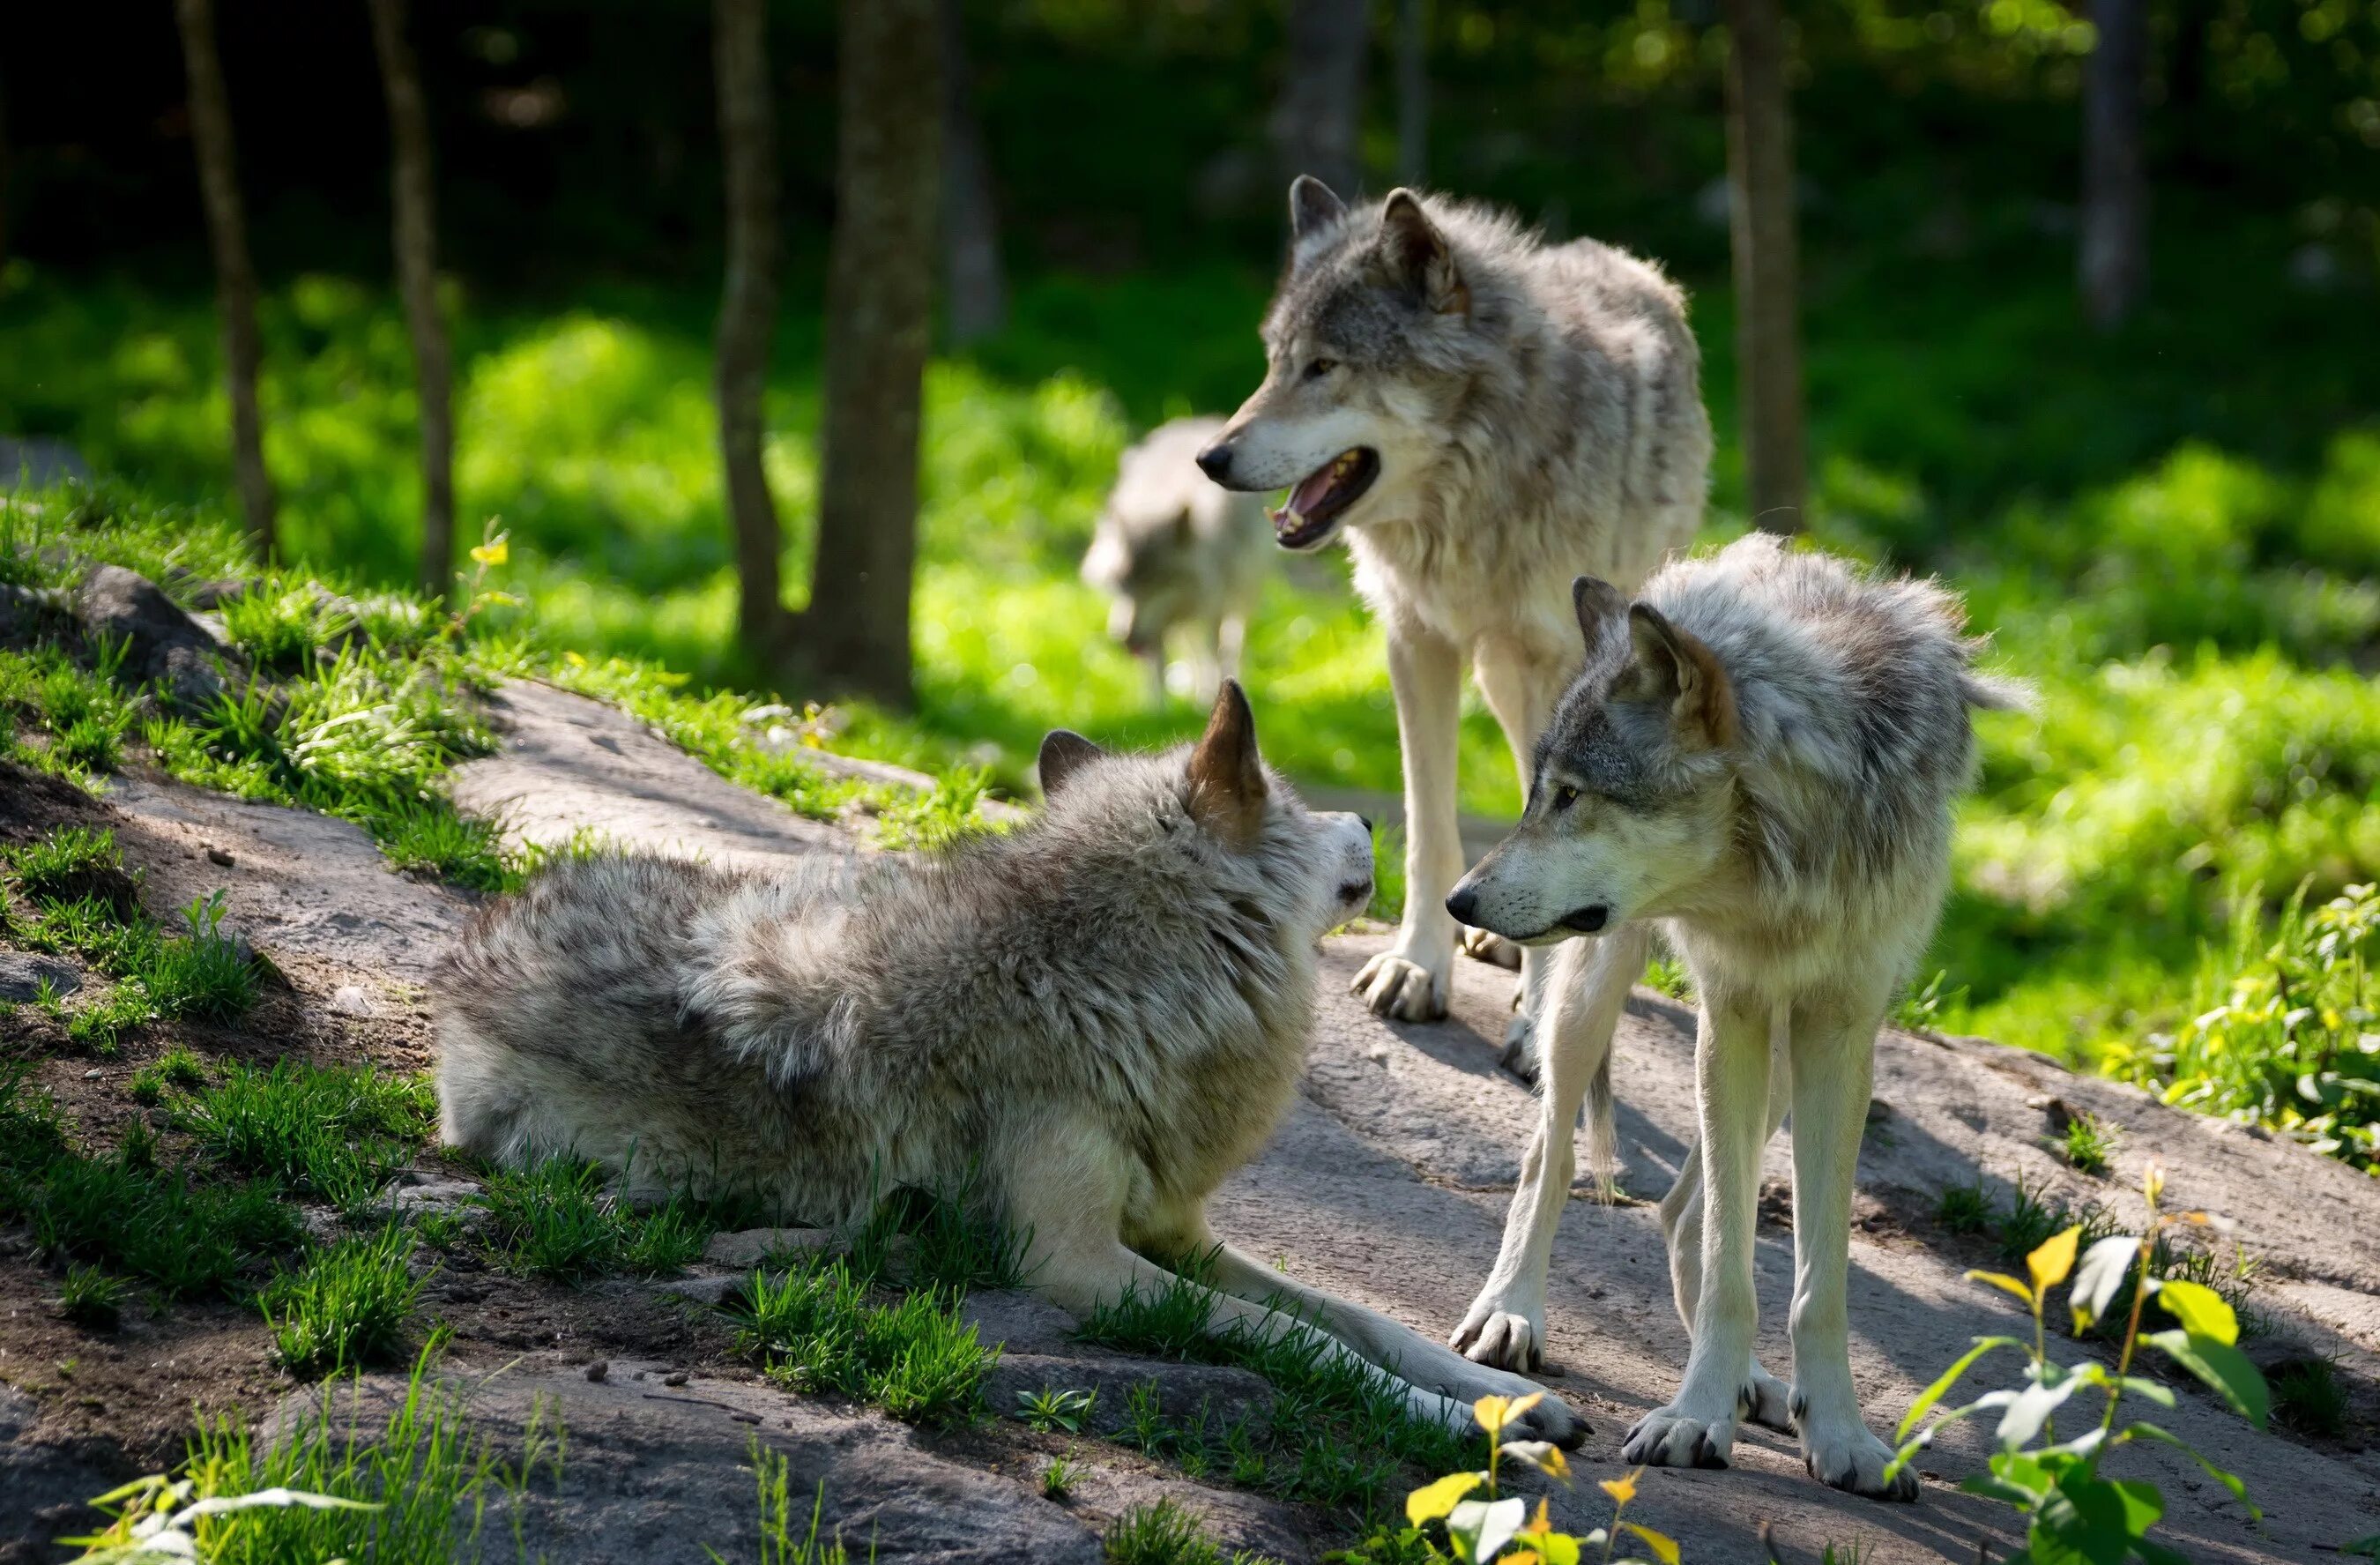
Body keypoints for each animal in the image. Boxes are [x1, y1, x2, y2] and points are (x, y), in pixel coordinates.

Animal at [433, 686, 1580, 1438]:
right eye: (1293, 799)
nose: (1370, 816)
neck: (1101, 977)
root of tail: (476, 940)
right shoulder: (1078, 1262)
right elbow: (1310, 1342)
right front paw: (1478, 1430)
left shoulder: (1179, 1231)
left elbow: (1369, 1318)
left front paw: (1517, 1398)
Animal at [1085, 419, 1285, 704]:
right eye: (1123, 583)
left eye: (1157, 582)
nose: (1124, 639)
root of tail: (1199, 420)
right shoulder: (1159, 623)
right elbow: (1157, 669)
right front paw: (1158, 708)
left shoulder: (1212, 607)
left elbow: (1213, 652)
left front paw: (1209, 698)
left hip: (1243, 595)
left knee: (1232, 644)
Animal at [1190, 177, 1714, 1067]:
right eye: (1273, 363)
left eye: (1325, 367)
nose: (1210, 459)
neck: (1472, 500)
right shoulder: (1415, 641)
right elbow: (1431, 826)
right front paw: (1417, 966)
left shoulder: (1553, 666)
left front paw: (1536, 1017)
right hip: (1497, 678)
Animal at [1428, 540, 2027, 1505]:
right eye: (1538, 795)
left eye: (1574, 795)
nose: (1459, 901)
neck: (1785, 854)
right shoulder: (1732, 1006)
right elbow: (1728, 1270)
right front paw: (1694, 1417)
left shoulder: (1839, 1025)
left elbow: (1816, 1279)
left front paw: (1841, 1434)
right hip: (1595, 992)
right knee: (1550, 1155)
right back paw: (1510, 1313)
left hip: (1780, 1059)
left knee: (1681, 1211)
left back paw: (1756, 1385)